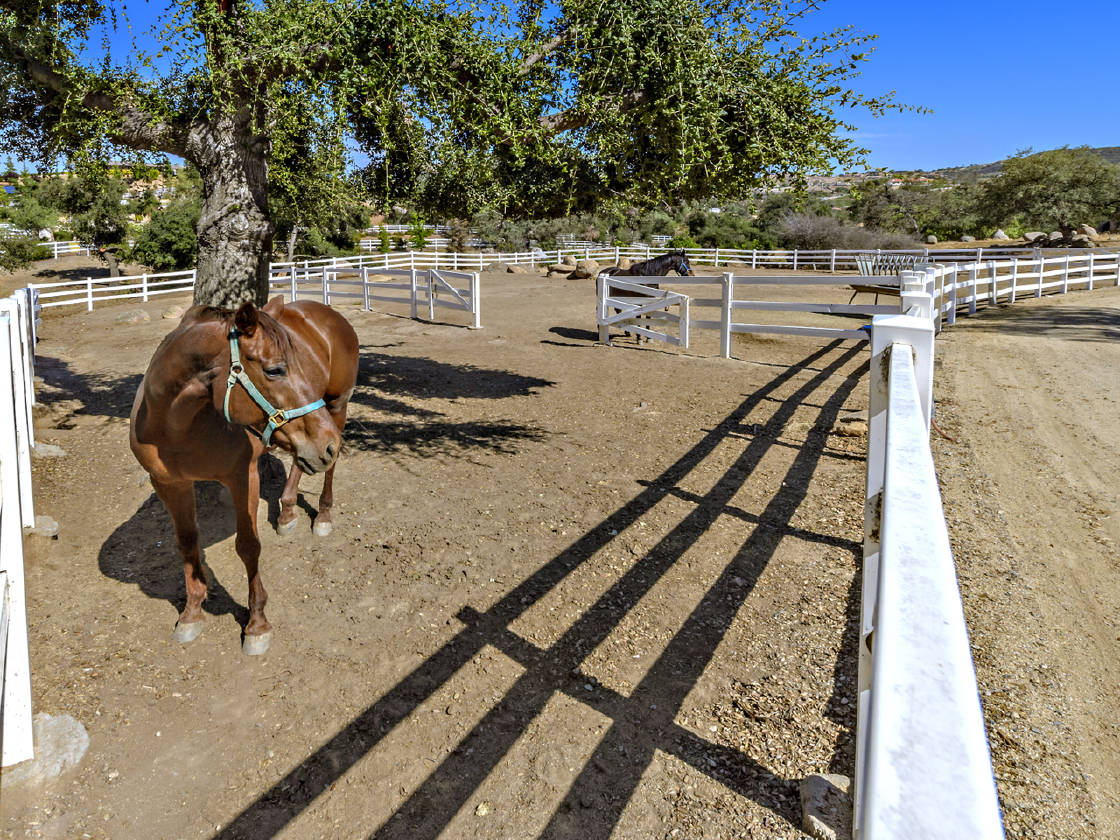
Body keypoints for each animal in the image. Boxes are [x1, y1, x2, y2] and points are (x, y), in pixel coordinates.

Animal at [129, 296, 359, 655]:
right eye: (274, 369)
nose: (329, 444)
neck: (174, 425)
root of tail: (330, 314)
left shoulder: (242, 477)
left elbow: (248, 546)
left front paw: (256, 624)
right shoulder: (170, 484)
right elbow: (187, 543)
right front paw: (192, 612)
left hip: (336, 408)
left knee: (328, 469)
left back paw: (322, 515)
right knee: (300, 464)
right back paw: (288, 511)